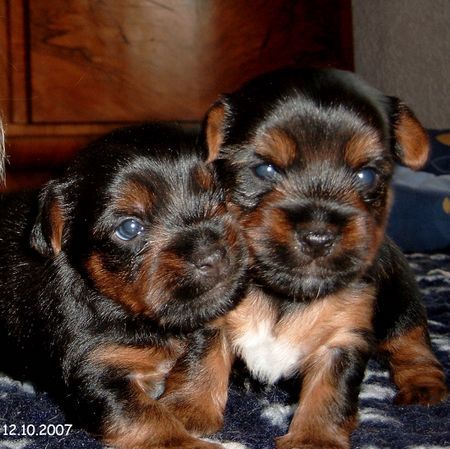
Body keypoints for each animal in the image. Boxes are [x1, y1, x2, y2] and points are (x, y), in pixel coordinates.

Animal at [0, 122, 246, 448]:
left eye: (218, 196)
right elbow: (148, 419)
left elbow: (207, 348)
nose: (213, 256)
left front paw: (190, 409)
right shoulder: (94, 367)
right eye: (129, 228)